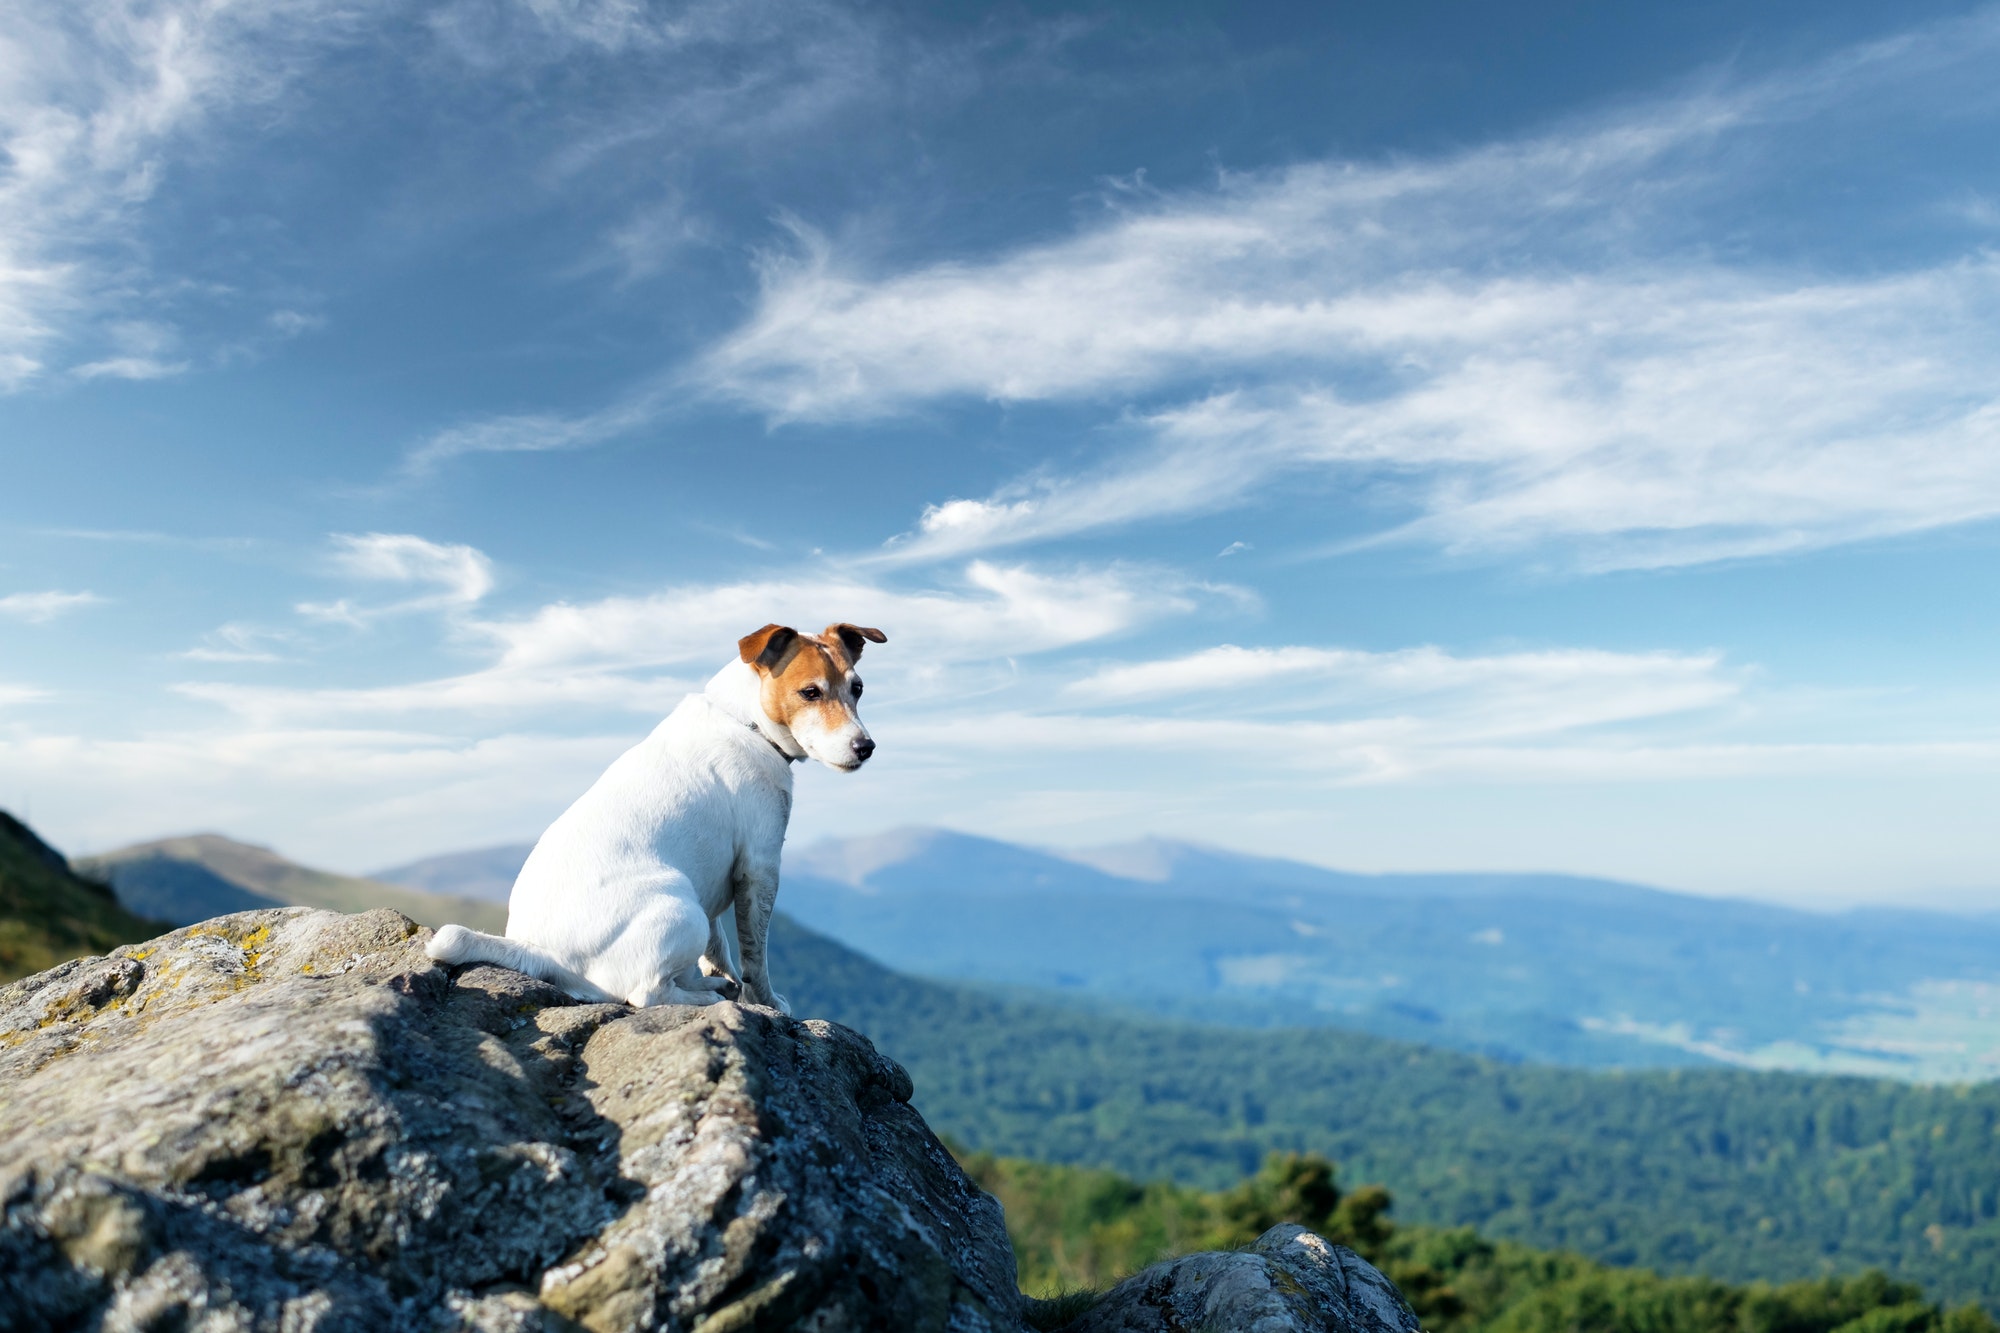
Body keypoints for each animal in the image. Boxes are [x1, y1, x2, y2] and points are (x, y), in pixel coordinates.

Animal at [424, 624, 884, 1008]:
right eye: (810, 692)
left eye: (858, 688)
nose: (865, 747)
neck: (745, 721)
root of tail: (544, 952)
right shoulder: (760, 867)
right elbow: (756, 957)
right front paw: (767, 1002)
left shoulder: (719, 877)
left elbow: (719, 951)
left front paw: (727, 981)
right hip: (681, 909)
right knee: (646, 993)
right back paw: (705, 1000)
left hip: (694, 902)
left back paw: (709, 986)